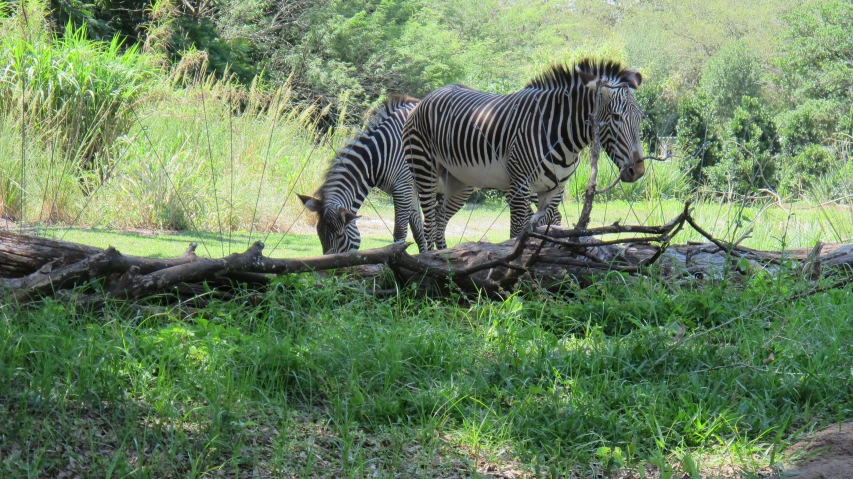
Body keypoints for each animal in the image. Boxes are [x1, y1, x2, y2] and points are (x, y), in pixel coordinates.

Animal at [298, 96, 430, 256]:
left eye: (340, 235)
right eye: (318, 233)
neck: (379, 155)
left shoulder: (403, 186)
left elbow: (400, 233)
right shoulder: (410, 189)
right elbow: (418, 232)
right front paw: (425, 257)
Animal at [402, 58, 644, 249]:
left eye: (639, 117)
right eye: (616, 117)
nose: (639, 171)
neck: (559, 135)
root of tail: (432, 94)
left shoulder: (555, 189)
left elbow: (546, 225)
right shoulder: (519, 186)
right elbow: (516, 233)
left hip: (460, 181)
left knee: (440, 220)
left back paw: (444, 258)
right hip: (424, 168)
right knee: (428, 223)